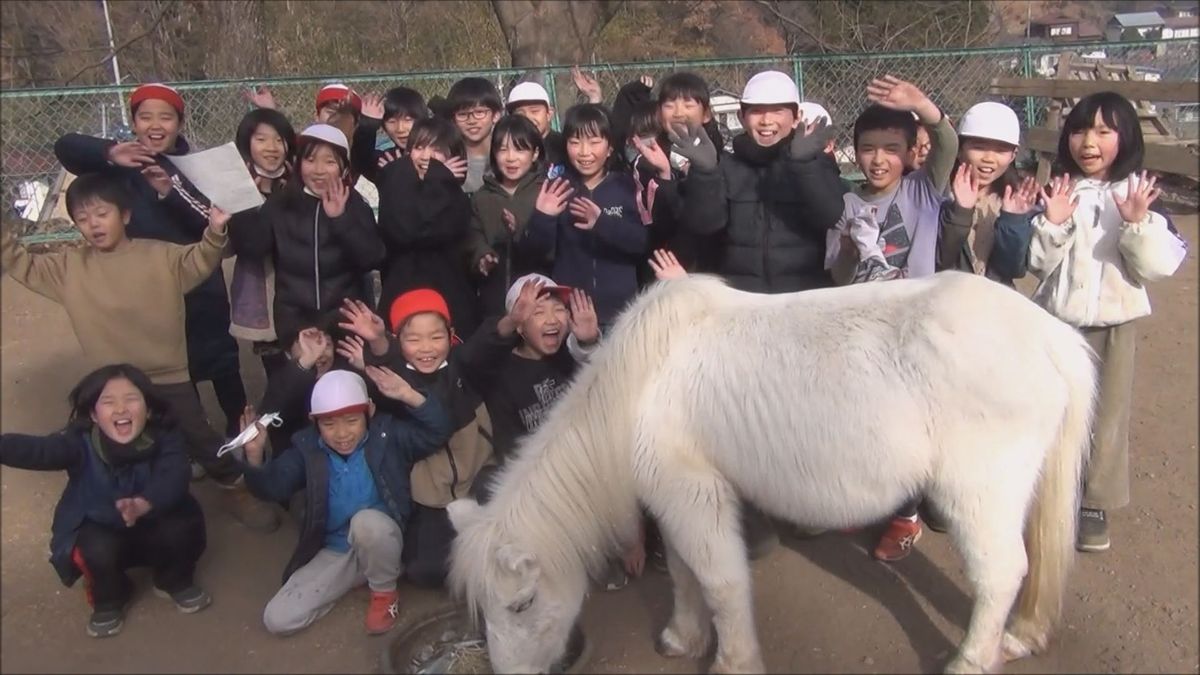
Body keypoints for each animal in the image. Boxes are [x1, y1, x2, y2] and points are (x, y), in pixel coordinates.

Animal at [448, 270, 1099, 667]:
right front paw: (683, 637)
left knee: (1002, 574)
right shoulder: (675, 497)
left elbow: (721, 582)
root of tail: (1052, 337)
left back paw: (970, 661)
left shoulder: (694, 493)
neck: (641, 386)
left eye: (520, 605)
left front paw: (733, 662)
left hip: (980, 494)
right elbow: (684, 575)